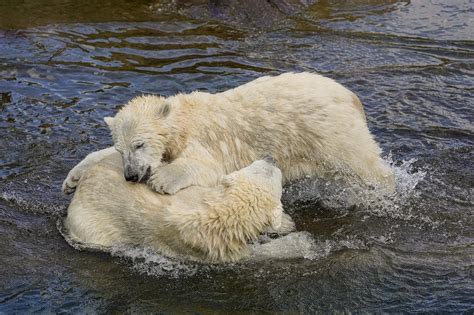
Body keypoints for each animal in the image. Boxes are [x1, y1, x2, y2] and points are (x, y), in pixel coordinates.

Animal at [61, 153, 294, 264]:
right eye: (264, 167)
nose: (271, 157)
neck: (222, 211)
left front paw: (285, 224)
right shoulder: (210, 250)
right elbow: (258, 253)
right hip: (91, 225)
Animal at [64, 73, 396, 196]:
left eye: (140, 143)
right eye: (123, 150)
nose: (131, 176)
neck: (182, 120)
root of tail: (350, 96)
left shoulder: (206, 139)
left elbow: (207, 166)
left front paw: (162, 179)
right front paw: (72, 178)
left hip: (333, 133)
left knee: (366, 165)